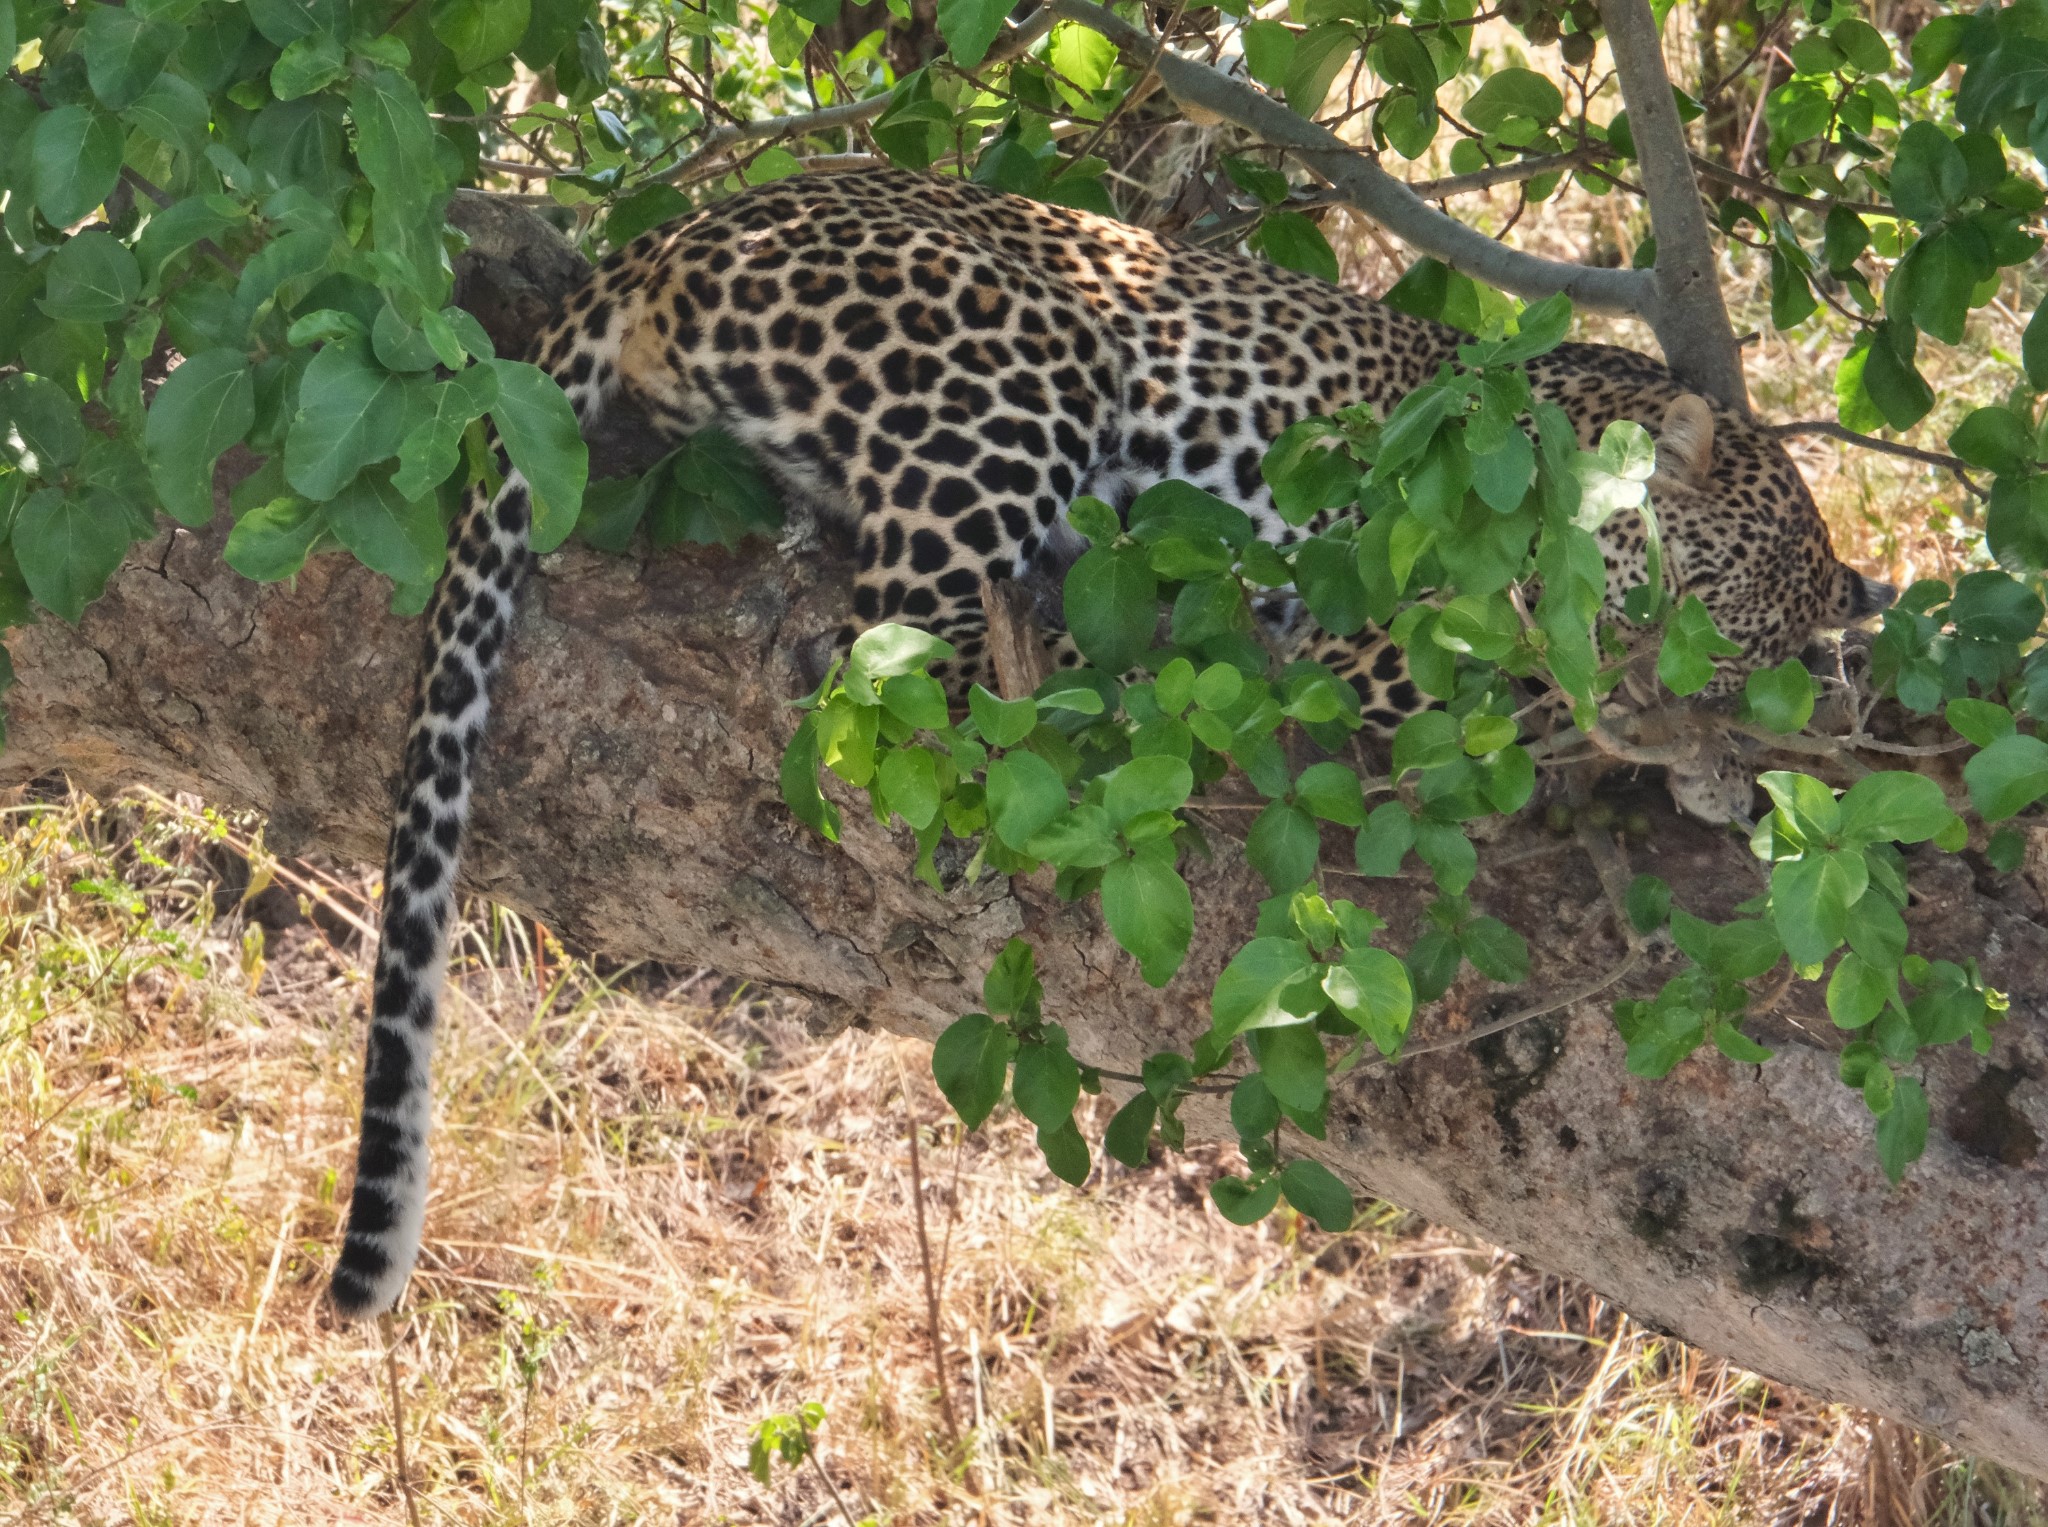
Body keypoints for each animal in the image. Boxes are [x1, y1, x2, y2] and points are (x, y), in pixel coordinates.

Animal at [331, 163, 1884, 1310]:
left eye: (1741, 658)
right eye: (1694, 603)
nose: (1682, 717)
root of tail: (687, 228)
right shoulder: (1404, 624)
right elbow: (1509, 676)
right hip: (1023, 366)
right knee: (905, 666)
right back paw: (1148, 648)